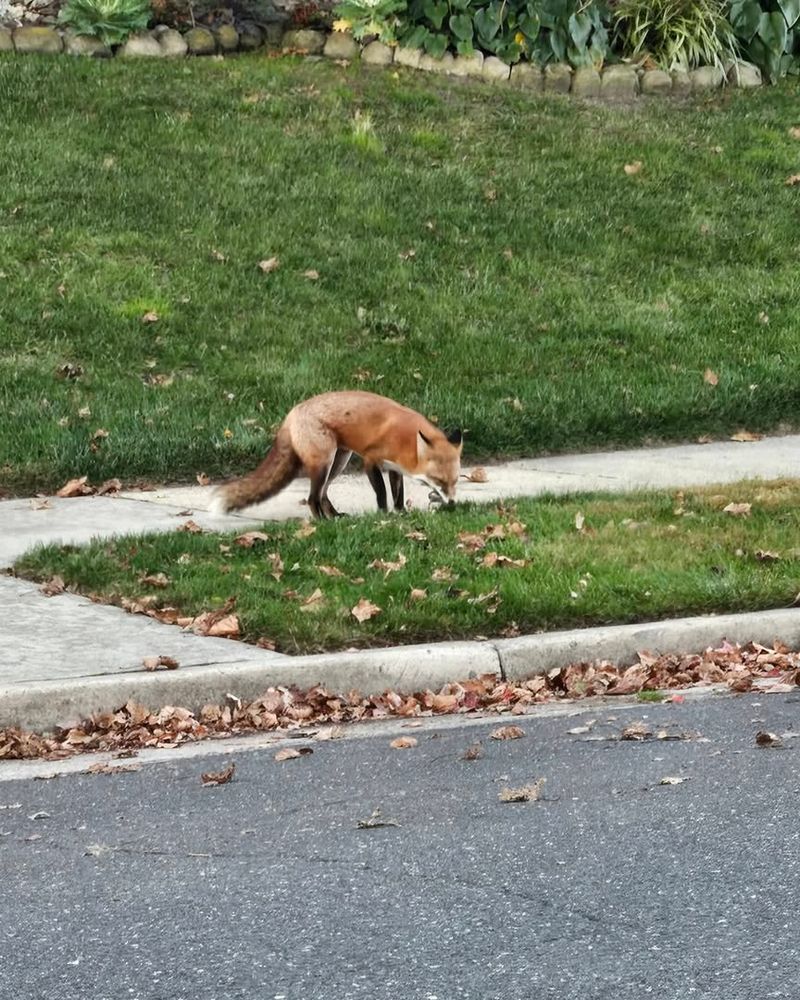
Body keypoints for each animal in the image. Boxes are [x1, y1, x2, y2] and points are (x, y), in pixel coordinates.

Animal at [210, 390, 463, 519]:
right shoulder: (370, 461)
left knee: (323, 494)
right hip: (325, 463)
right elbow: (382, 494)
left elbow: (398, 495)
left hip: (339, 461)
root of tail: (292, 414)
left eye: (455, 481)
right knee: (312, 497)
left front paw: (401, 513)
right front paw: (383, 516)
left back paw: (336, 516)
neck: (406, 441)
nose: (452, 504)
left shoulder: (394, 468)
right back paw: (323, 522)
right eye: (439, 480)